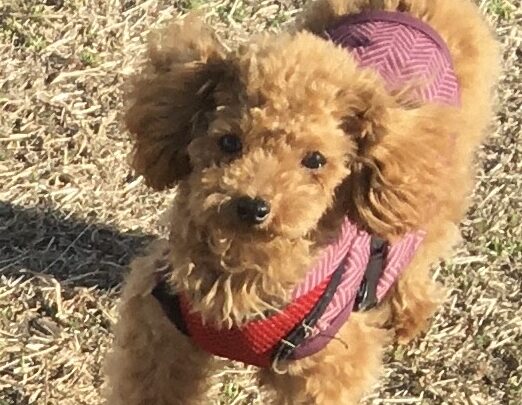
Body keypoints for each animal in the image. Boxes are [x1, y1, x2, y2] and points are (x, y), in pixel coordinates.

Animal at [104, 0, 499, 403]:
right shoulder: (159, 331)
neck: (243, 271)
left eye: (315, 160)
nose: (253, 206)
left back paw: (406, 312)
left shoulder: (326, 367)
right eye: (229, 142)